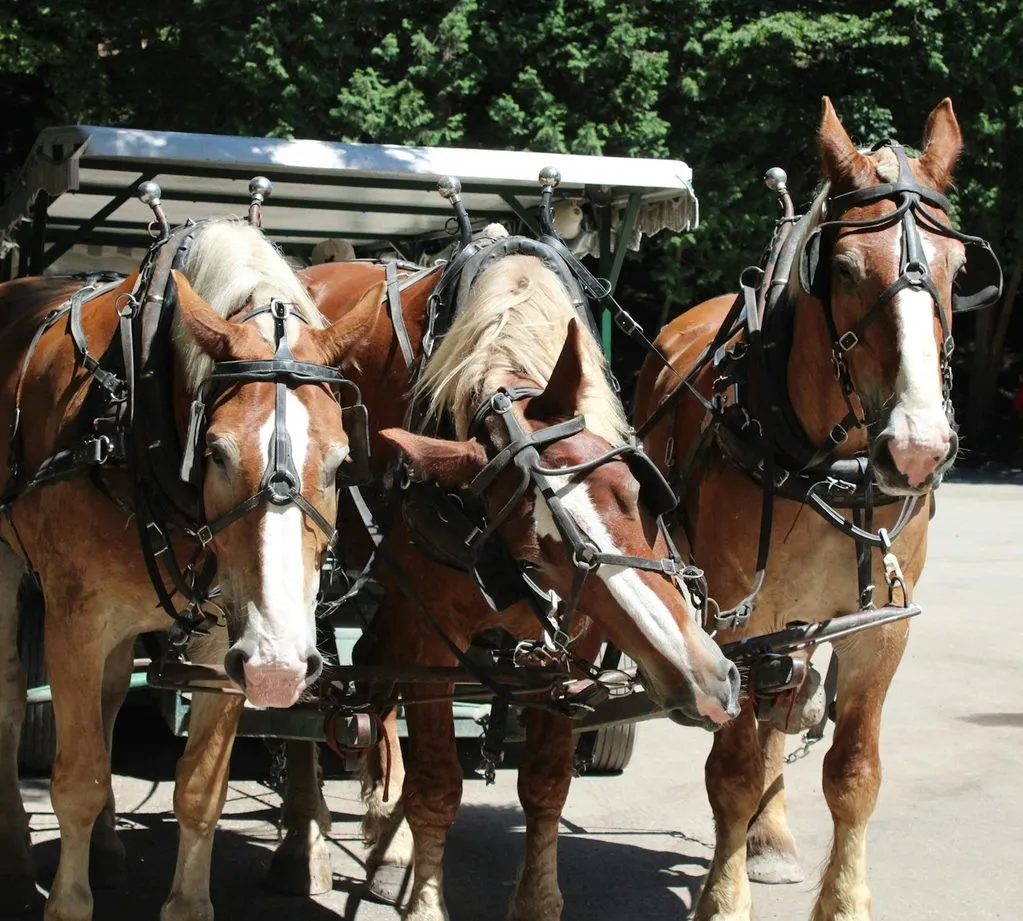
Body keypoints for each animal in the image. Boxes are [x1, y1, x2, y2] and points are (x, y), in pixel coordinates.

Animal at [0, 218, 383, 921]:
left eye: (342, 462)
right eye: (216, 453)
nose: (280, 667)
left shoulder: (226, 637)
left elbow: (200, 791)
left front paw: (185, 901)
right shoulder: (75, 621)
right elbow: (78, 778)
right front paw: (67, 901)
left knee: (110, 697)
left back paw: (106, 849)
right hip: (9, 565)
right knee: (13, 697)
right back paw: (15, 853)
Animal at [249, 231, 742, 921]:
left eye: (634, 492)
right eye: (534, 556)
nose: (707, 680)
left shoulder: (573, 645)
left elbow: (546, 781)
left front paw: (534, 899)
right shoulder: (432, 636)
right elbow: (436, 783)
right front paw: (425, 902)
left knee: (372, 665)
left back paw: (386, 843)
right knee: (310, 695)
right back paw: (306, 843)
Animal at [633, 97, 998, 920]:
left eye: (958, 271)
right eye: (843, 269)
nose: (919, 447)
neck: (828, 464)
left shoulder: (880, 627)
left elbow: (854, 772)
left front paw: (843, 899)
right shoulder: (737, 619)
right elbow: (732, 767)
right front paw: (722, 897)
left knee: (786, 704)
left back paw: (769, 838)